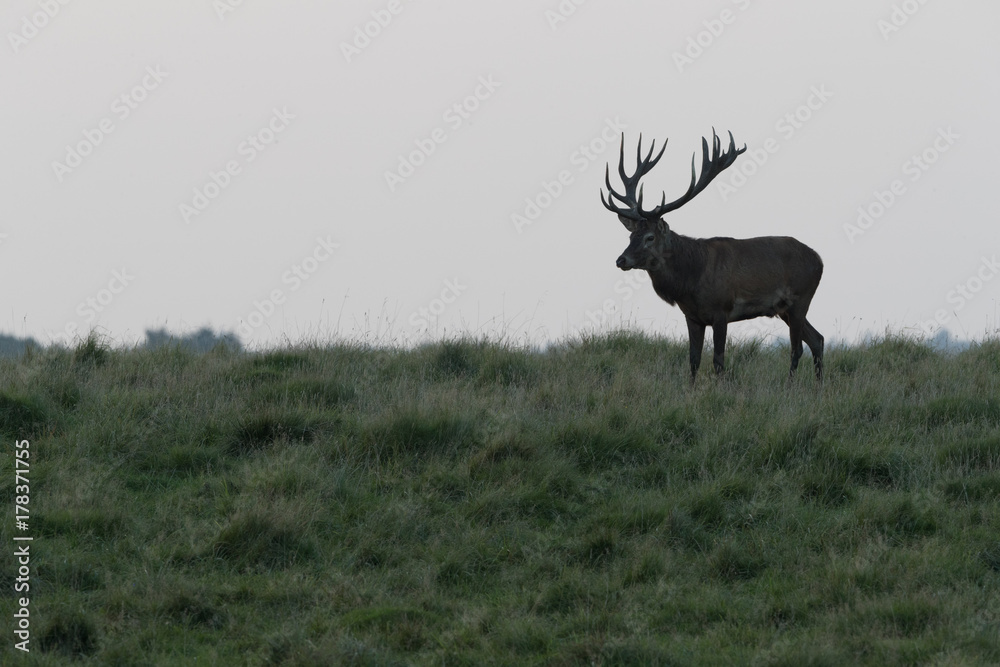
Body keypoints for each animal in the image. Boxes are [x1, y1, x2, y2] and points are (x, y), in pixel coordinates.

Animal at [600, 129, 824, 383]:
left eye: (650, 237)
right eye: (631, 236)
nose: (621, 260)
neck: (690, 281)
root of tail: (820, 259)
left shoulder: (721, 311)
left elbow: (718, 361)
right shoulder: (692, 317)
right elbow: (693, 360)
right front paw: (690, 388)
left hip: (800, 298)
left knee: (797, 347)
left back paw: (790, 385)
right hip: (784, 309)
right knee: (817, 339)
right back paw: (818, 384)